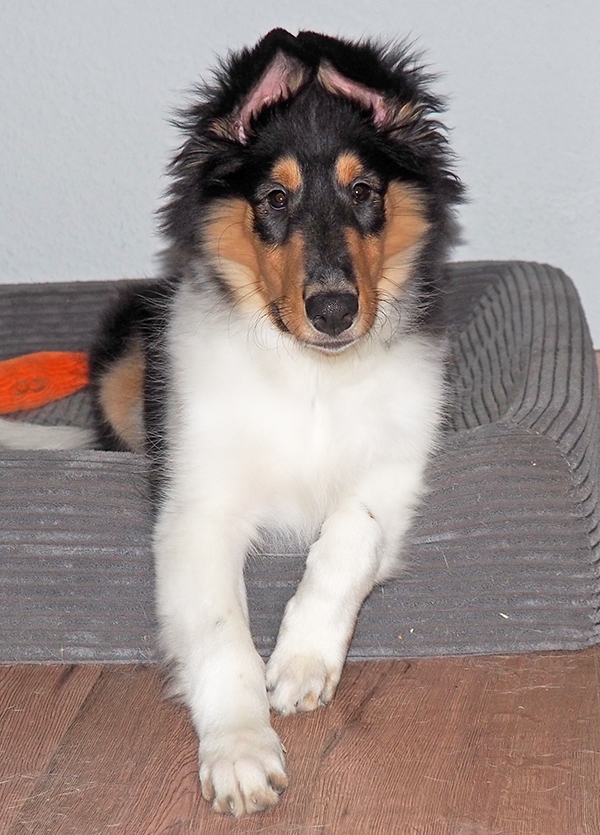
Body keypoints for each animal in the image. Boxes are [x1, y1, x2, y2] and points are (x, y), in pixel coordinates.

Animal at [15, 29, 464, 816]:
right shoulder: (196, 512)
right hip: (129, 356)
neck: (312, 374)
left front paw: (301, 663)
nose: (334, 311)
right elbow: (223, 636)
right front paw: (240, 754)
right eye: (274, 198)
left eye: (364, 192)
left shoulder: (397, 465)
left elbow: (349, 537)